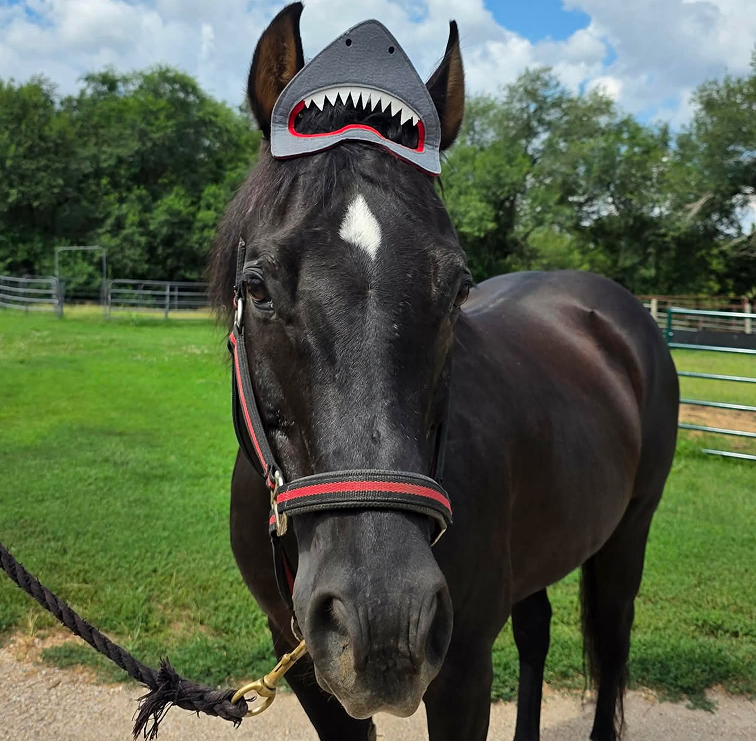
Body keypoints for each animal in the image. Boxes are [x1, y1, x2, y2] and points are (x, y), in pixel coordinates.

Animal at [208, 5, 679, 740]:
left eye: (457, 289)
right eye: (256, 287)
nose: (384, 618)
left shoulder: (461, 672)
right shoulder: (307, 669)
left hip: (630, 531)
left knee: (613, 638)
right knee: (538, 629)